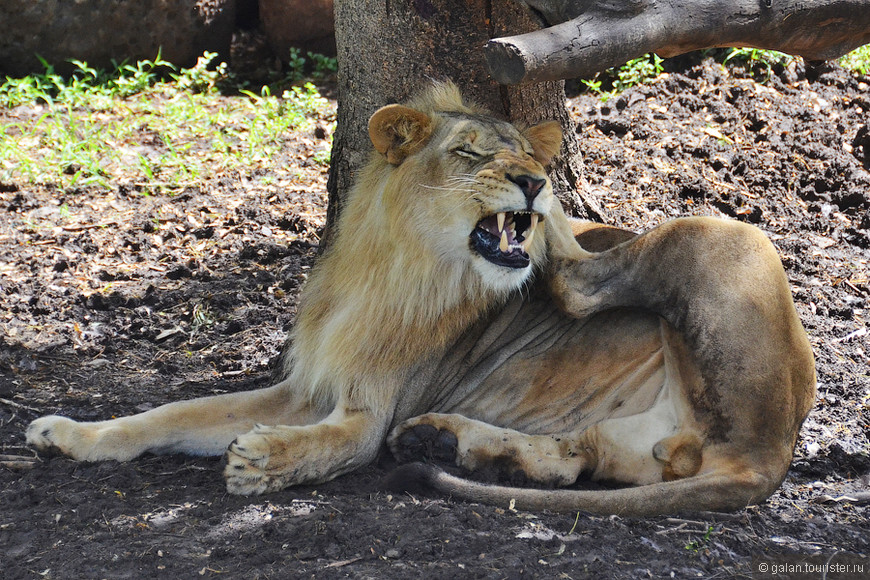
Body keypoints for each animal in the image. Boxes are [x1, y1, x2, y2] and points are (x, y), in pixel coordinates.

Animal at [25, 80, 816, 512]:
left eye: (522, 153)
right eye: (470, 153)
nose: (534, 178)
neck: (391, 265)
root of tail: (769, 449)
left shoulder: (364, 416)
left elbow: (328, 446)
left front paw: (263, 459)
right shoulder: (307, 387)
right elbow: (171, 413)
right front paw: (68, 436)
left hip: (729, 236)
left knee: (580, 280)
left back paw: (560, 230)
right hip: (638, 429)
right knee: (580, 456)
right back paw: (449, 440)